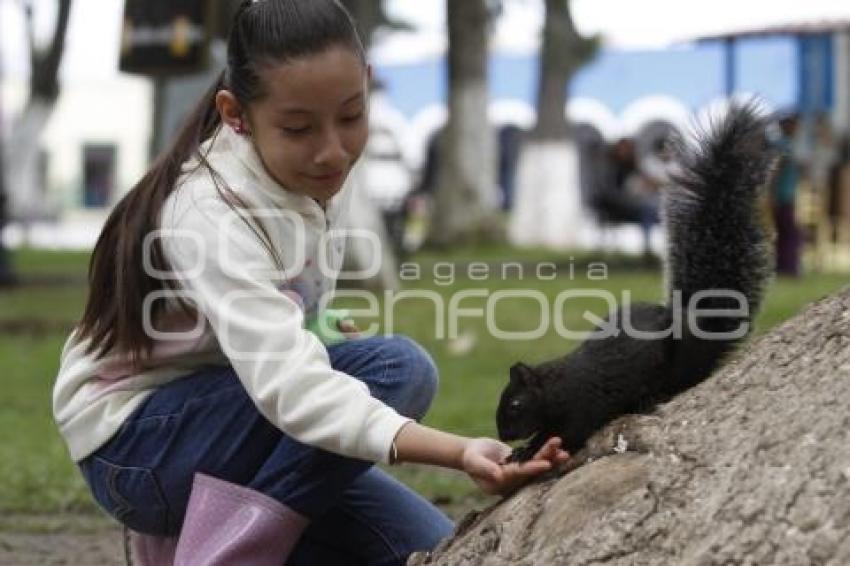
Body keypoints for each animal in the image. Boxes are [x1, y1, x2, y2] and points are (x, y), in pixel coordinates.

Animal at [496, 105, 776, 462]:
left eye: (516, 404)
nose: (503, 435)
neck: (560, 386)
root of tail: (697, 318)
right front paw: (520, 451)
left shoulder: (582, 407)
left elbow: (568, 433)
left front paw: (528, 451)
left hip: (681, 360)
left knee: (685, 379)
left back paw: (653, 397)